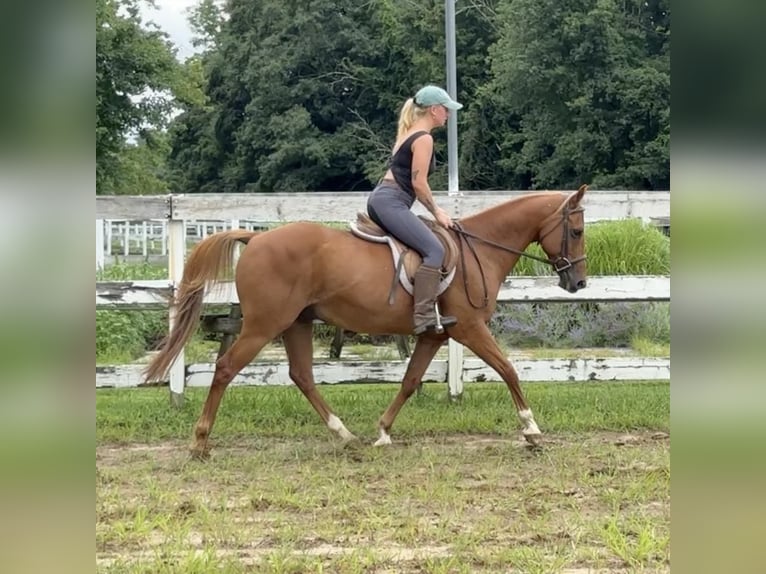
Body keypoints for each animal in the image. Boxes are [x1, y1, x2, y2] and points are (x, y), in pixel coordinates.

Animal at [144, 187, 588, 462]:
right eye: (578, 230)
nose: (579, 282)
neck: (477, 249)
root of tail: (256, 239)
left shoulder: (436, 333)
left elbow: (410, 381)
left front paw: (383, 432)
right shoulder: (469, 328)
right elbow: (508, 369)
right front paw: (532, 431)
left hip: (297, 324)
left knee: (302, 375)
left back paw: (344, 436)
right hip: (263, 326)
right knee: (225, 369)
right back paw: (200, 443)